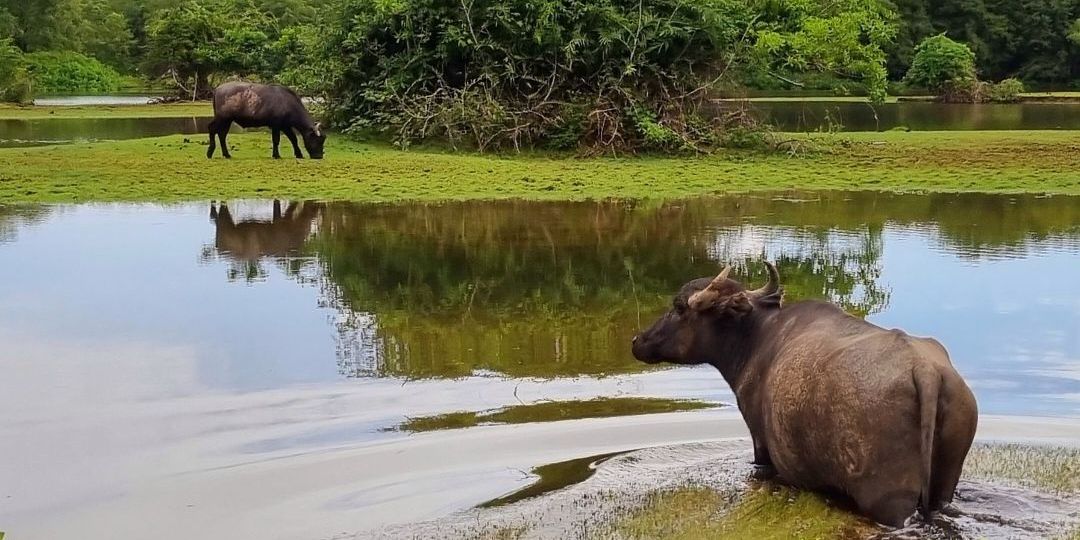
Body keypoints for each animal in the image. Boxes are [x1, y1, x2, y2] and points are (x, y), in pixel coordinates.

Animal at [630, 262, 980, 527]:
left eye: (678, 306)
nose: (637, 340)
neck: (755, 340)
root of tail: (925, 369)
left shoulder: (760, 444)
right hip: (944, 485)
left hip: (891, 499)